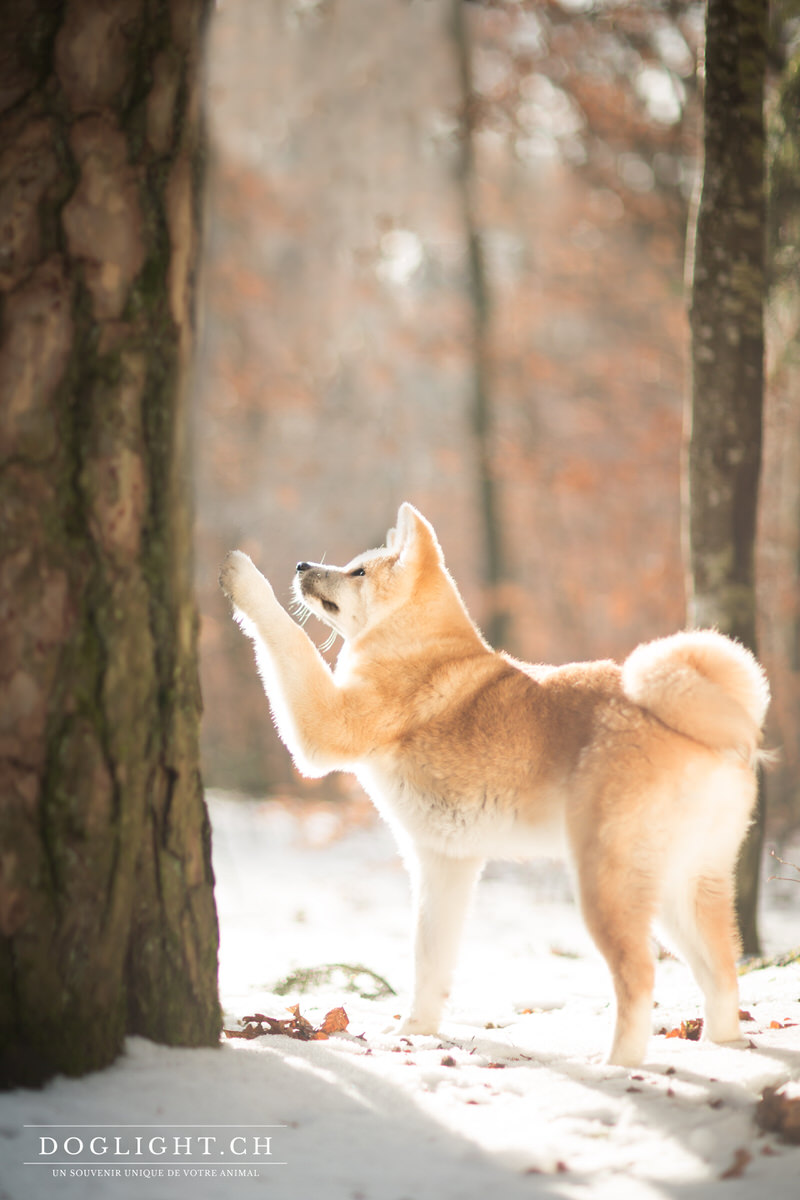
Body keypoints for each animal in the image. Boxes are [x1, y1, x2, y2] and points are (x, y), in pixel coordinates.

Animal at [219, 501, 767, 1065]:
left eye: (358, 572)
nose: (303, 565)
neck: (417, 647)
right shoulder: (446, 865)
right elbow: (430, 963)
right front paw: (415, 1033)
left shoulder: (324, 728)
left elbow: (289, 637)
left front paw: (243, 575)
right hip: (686, 889)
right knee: (723, 972)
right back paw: (724, 1047)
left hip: (609, 884)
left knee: (639, 977)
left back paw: (615, 1065)